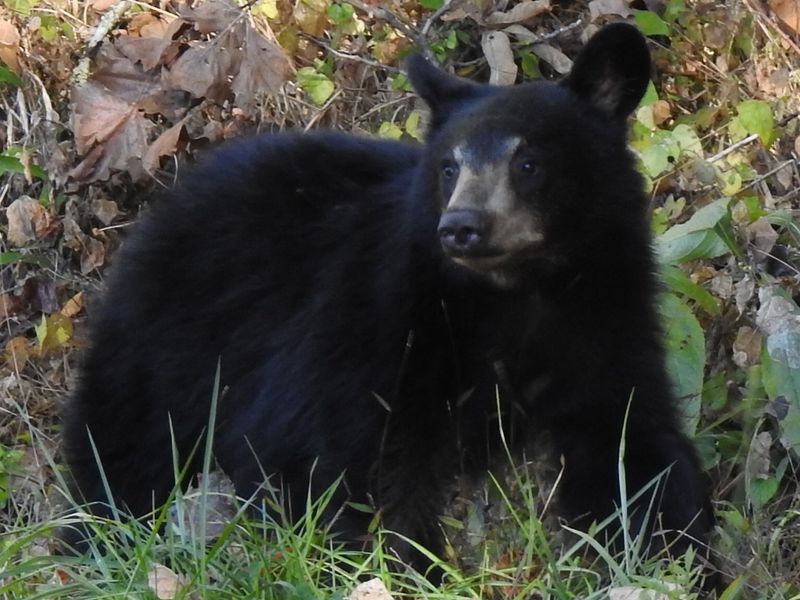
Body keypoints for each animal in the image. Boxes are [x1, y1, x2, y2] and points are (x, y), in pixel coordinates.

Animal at [62, 22, 712, 572]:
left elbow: (631, 445)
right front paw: (406, 565)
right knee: (129, 442)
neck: (515, 294)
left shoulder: (603, 319)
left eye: (528, 162)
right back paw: (101, 538)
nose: (461, 228)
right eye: (448, 166)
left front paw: (678, 555)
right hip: (172, 336)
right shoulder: (381, 317)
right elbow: (342, 453)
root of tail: (170, 198)